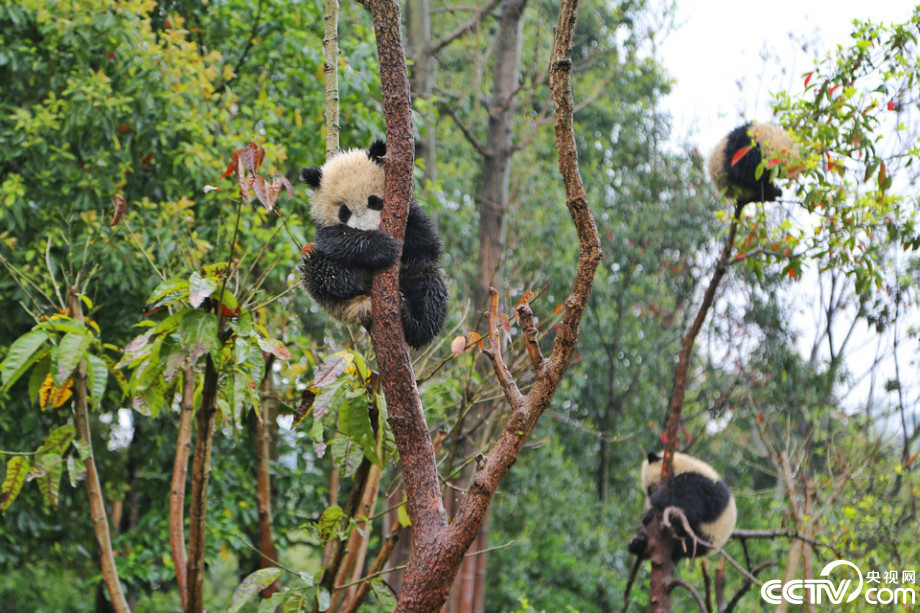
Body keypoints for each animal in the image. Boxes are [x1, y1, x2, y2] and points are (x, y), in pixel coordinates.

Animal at [299, 140, 449, 349]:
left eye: (374, 201)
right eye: (344, 211)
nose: (367, 229)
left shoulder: (414, 216)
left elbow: (426, 245)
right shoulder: (325, 232)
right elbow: (338, 240)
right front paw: (382, 246)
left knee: (430, 287)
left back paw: (411, 319)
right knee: (320, 272)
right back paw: (358, 277)